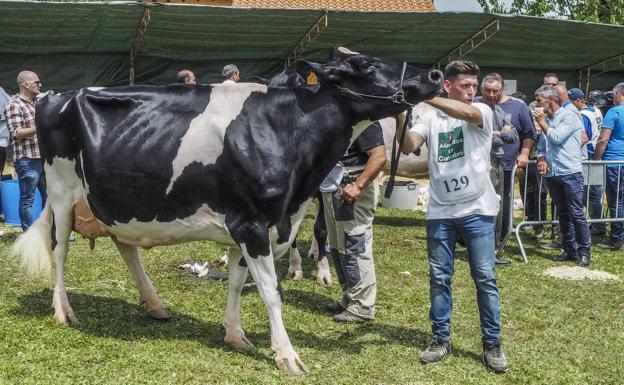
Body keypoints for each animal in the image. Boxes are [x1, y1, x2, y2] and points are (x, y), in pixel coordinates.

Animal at [14, 49, 444, 374]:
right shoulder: (251, 223)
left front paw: (236, 335)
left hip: (119, 201)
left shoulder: (254, 225)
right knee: (59, 250)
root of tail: (54, 96)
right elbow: (270, 291)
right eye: (367, 65)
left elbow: (238, 282)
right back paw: (63, 311)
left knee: (126, 246)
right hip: (60, 192)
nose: (436, 73)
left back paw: (154, 305)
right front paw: (287, 355)